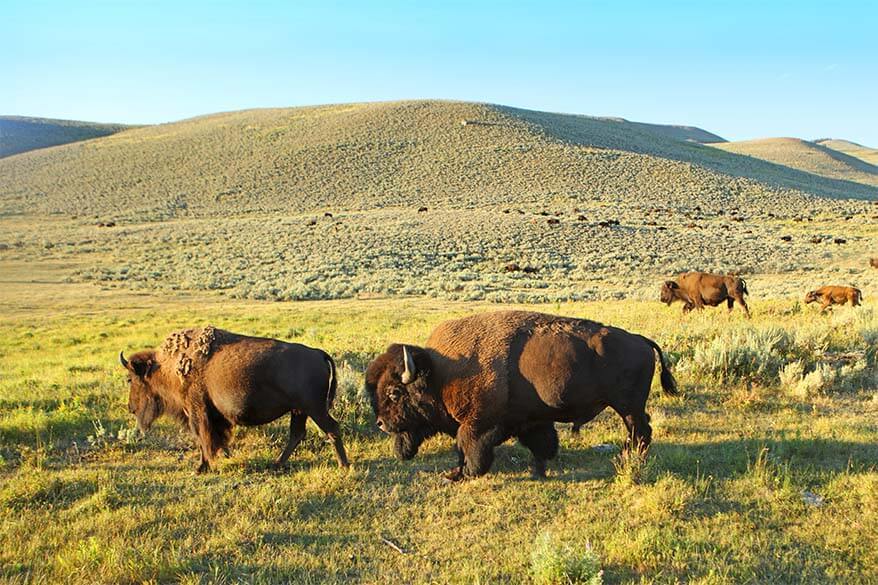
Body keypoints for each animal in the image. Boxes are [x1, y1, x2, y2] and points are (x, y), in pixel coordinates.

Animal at [117, 326, 350, 472]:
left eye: (130, 379)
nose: (131, 407)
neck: (168, 366)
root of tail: (317, 353)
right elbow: (216, 438)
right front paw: (221, 457)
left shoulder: (196, 411)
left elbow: (203, 438)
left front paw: (201, 468)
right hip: (299, 410)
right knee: (297, 434)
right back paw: (276, 464)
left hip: (315, 409)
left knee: (331, 428)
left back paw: (343, 465)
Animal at [364, 310, 680, 480]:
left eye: (394, 392)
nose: (381, 424)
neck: (441, 373)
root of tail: (640, 340)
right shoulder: (531, 420)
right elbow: (542, 445)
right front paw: (538, 472)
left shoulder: (478, 425)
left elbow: (468, 448)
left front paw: (460, 475)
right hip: (629, 407)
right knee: (641, 430)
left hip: (628, 407)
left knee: (640, 431)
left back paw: (630, 461)